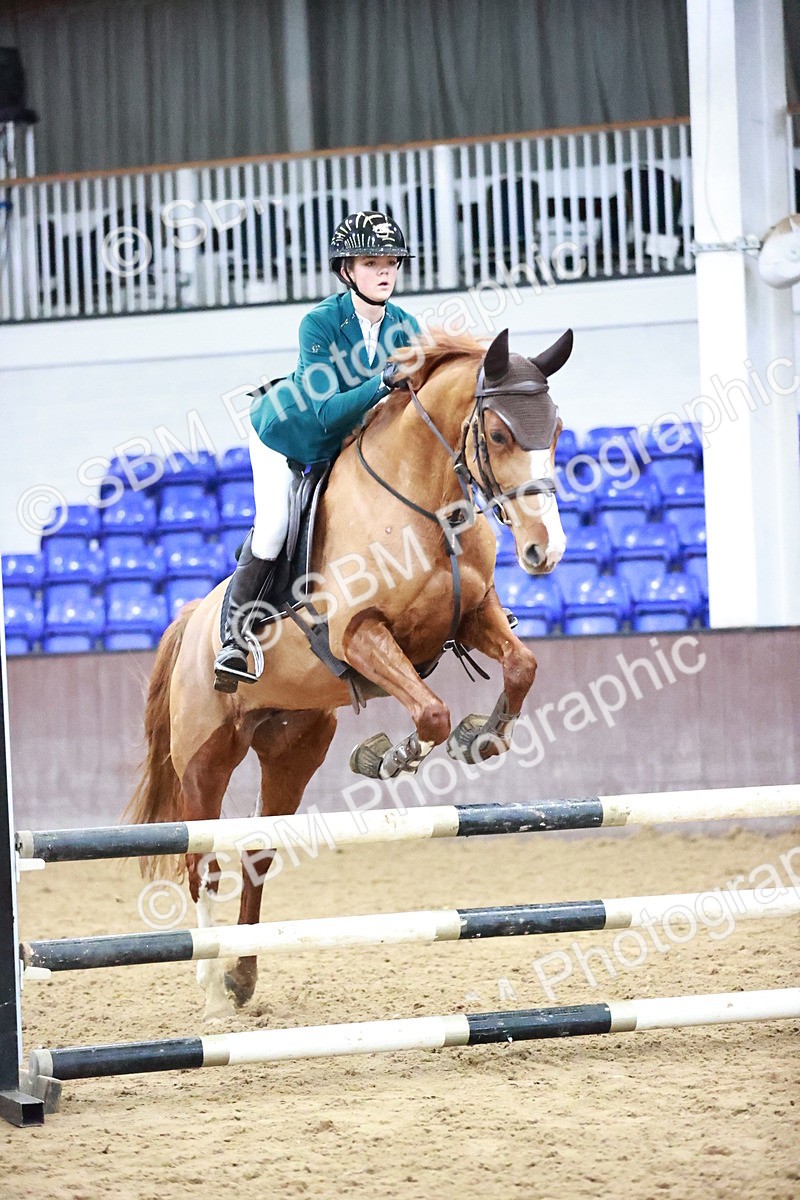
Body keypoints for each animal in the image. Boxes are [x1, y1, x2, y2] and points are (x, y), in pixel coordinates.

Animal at [127, 325, 572, 1017]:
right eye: (499, 436)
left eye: (555, 430)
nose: (544, 550)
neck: (424, 501)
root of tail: (192, 616)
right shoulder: (360, 635)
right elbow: (430, 711)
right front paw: (391, 756)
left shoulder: (471, 617)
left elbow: (521, 666)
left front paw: (483, 737)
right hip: (205, 757)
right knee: (201, 861)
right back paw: (211, 986)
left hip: (294, 745)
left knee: (257, 852)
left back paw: (243, 975)